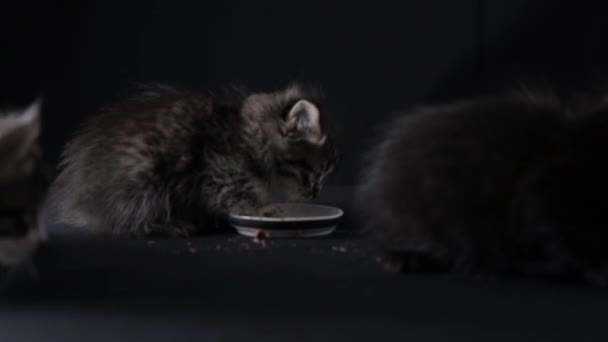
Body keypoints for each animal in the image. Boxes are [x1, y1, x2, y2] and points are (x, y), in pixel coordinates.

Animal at [50, 84, 340, 236]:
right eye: (316, 175)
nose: (315, 194)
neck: (248, 136)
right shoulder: (220, 170)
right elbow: (237, 195)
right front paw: (262, 210)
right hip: (143, 179)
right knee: (127, 218)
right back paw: (169, 224)